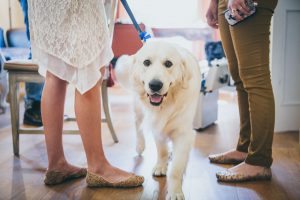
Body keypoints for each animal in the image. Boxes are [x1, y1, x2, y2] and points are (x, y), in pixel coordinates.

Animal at [115, 40, 202, 200]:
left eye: (168, 63)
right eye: (146, 62)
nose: (155, 85)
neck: (167, 104)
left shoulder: (183, 133)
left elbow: (176, 169)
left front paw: (175, 192)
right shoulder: (157, 128)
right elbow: (161, 150)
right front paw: (161, 166)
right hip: (138, 109)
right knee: (138, 125)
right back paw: (140, 145)